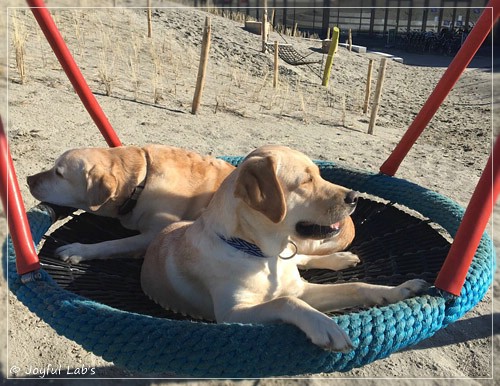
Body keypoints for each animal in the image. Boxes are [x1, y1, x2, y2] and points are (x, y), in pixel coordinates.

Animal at [28, 143, 235, 264]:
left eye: (59, 173)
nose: (28, 179)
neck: (141, 181)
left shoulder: (154, 235)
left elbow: (114, 244)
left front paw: (78, 250)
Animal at [142, 146, 430, 352]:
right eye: (305, 181)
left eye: (320, 174)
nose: (354, 197)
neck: (264, 256)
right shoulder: (232, 314)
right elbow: (285, 301)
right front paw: (325, 325)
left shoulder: (303, 288)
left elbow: (355, 287)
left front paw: (395, 291)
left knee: (304, 257)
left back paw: (340, 258)